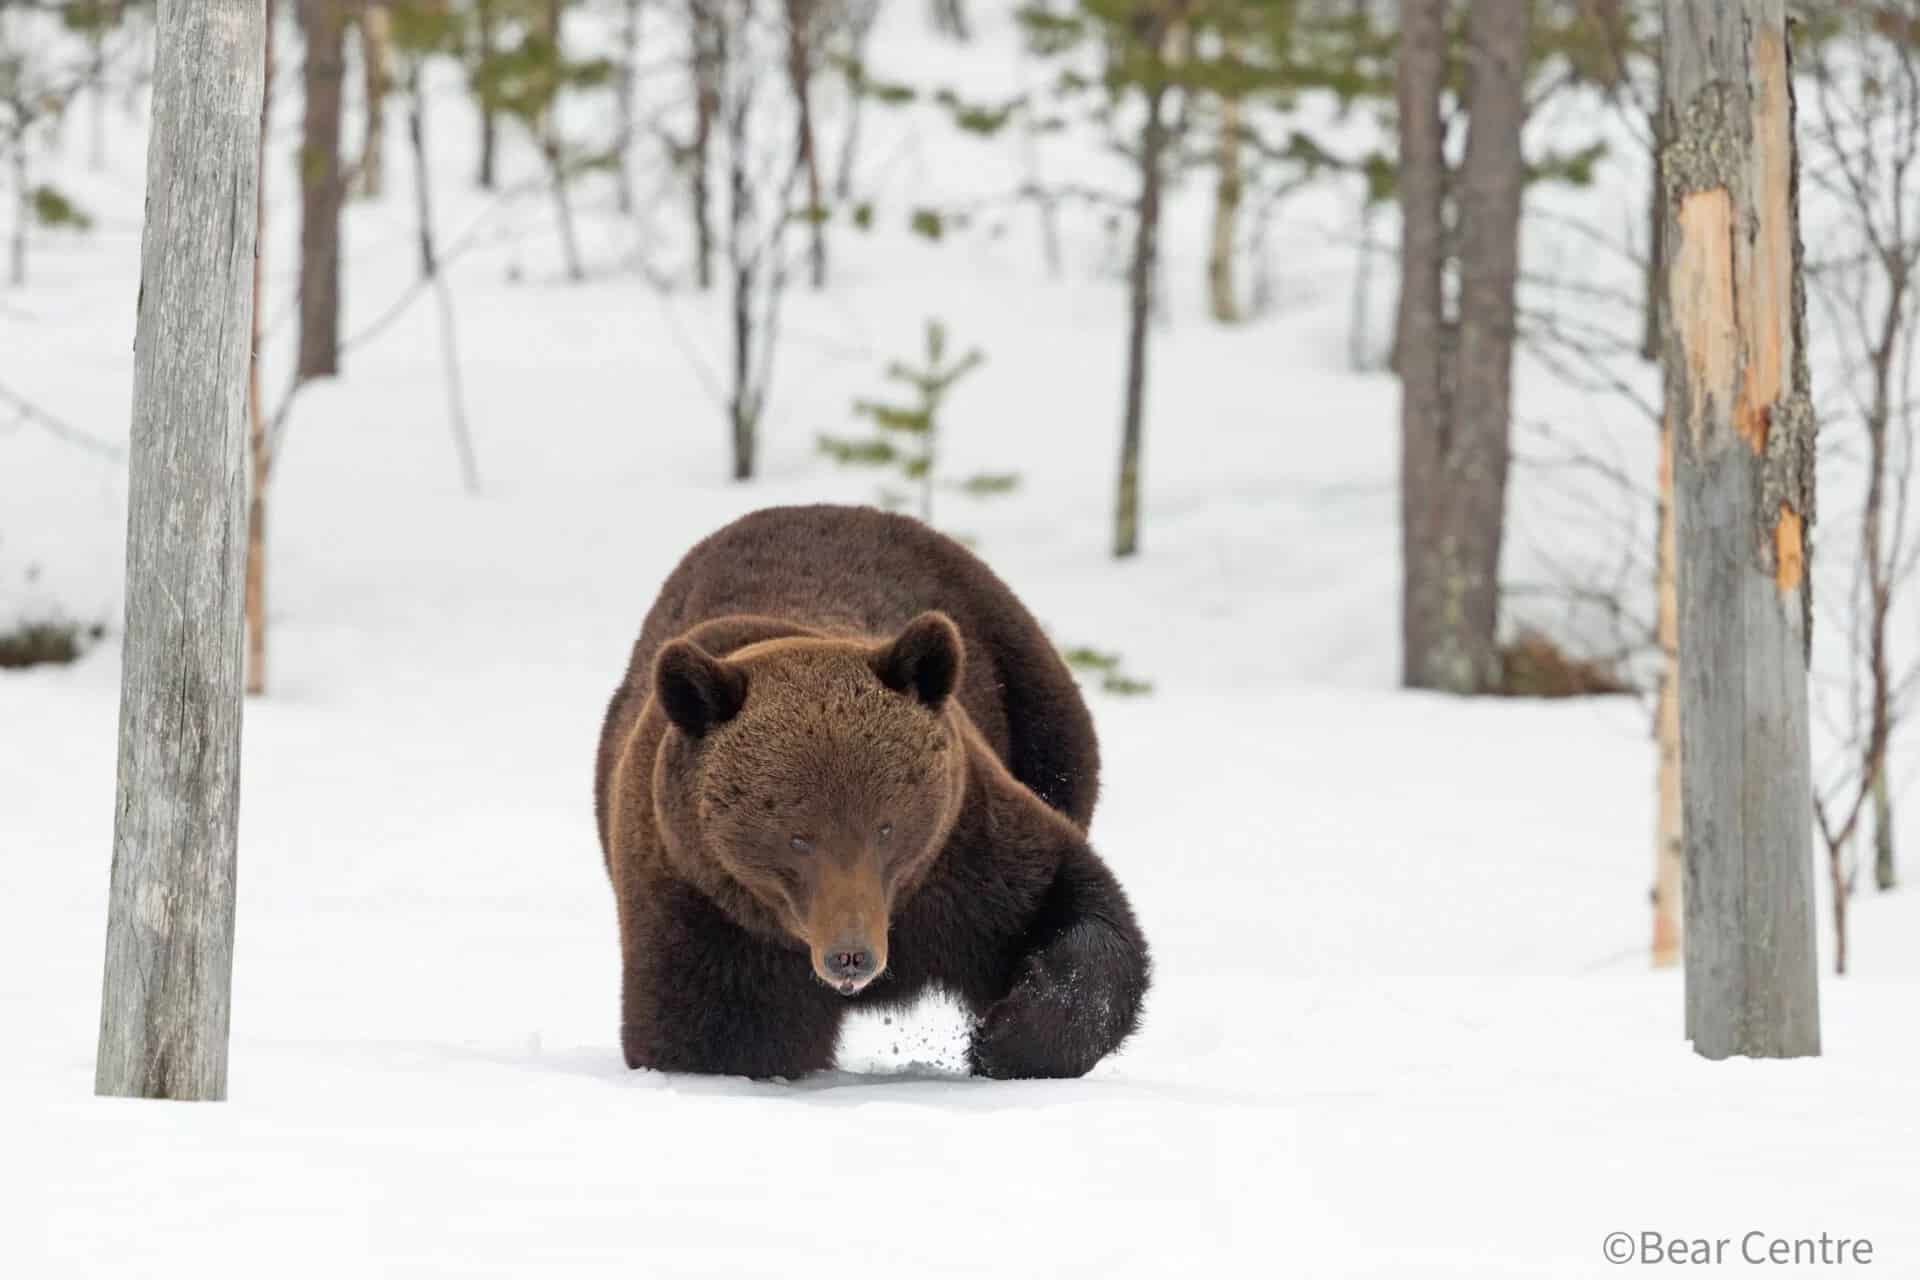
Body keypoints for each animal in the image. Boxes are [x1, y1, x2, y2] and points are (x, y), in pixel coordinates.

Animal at [594, 504, 1150, 1079]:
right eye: (796, 837)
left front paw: (1003, 1038)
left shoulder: (964, 855)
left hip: (1030, 701)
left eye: (886, 826)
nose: (851, 954)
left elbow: (1072, 911)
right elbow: (716, 1038)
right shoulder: (705, 912)